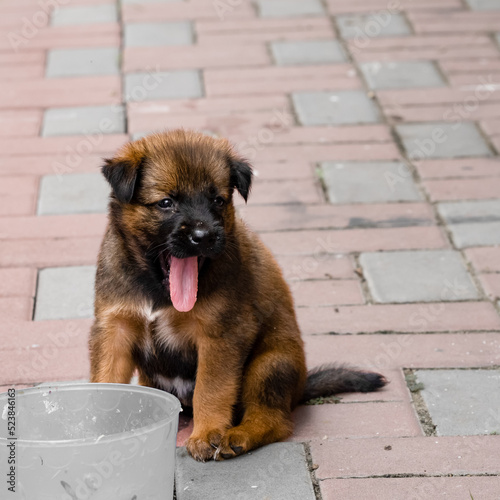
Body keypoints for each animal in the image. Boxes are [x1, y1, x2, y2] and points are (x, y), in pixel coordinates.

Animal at [90, 128, 386, 460]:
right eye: (166, 202)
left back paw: (239, 435)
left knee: (273, 419)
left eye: (218, 200)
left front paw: (207, 435)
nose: (204, 236)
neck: (158, 290)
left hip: (269, 365)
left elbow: (211, 388)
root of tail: (300, 388)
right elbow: (106, 383)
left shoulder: (221, 333)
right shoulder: (114, 328)